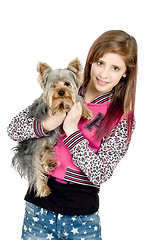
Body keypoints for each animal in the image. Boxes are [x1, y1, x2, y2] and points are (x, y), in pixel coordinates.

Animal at [11, 58, 92, 197]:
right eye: (53, 85)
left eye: (67, 83)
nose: (61, 92)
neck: (62, 101)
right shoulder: (48, 106)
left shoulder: (73, 99)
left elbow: (77, 100)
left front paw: (86, 112)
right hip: (31, 155)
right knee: (36, 171)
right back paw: (43, 189)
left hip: (49, 145)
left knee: (45, 156)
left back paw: (50, 162)